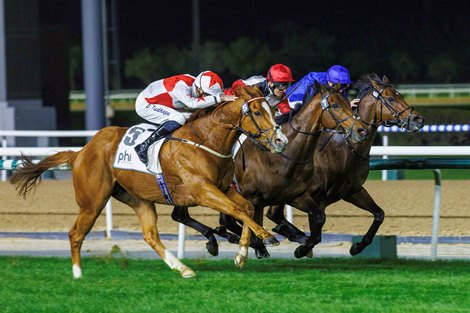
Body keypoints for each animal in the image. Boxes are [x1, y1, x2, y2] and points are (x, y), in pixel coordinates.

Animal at [11, 84, 288, 276]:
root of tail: (81, 152)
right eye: (256, 112)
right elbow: (237, 210)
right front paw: (266, 237)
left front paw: (242, 254)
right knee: (75, 233)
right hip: (92, 201)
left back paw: (183, 269)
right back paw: (78, 275)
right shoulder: (202, 191)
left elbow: (246, 208)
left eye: (273, 109)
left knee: (150, 235)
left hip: (137, 198)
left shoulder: (220, 188)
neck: (205, 140)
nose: (280, 141)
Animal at [170, 80, 370, 256]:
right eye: (335, 105)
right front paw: (263, 244)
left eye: (349, 103)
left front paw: (301, 247)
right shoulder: (255, 198)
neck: (284, 156)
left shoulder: (296, 195)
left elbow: (319, 217)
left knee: (184, 215)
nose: (361, 131)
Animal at [266, 72, 428, 256]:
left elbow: (379, 214)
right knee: (273, 213)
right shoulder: (310, 196)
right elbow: (317, 228)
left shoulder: (352, 191)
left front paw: (357, 246)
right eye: (391, 98)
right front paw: (302, 248)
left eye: (400, 95)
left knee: (274, 214)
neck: (345, 149)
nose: (418, 119)